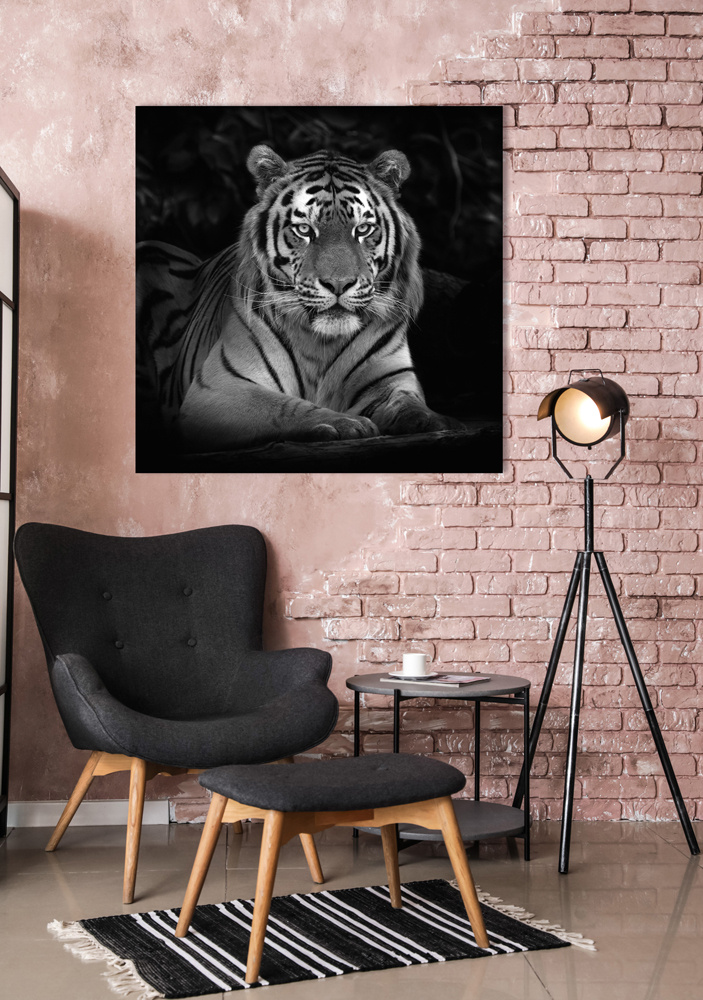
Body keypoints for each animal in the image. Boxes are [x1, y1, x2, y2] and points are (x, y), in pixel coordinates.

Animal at [137, 144, 460, 453]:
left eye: (363, 229)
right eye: (304, 230)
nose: (339, 284)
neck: (323, 344)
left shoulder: (390, 380)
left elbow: (407, 403)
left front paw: (434, 420)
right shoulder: (220, 387)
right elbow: (282, 407)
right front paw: (346, 423)